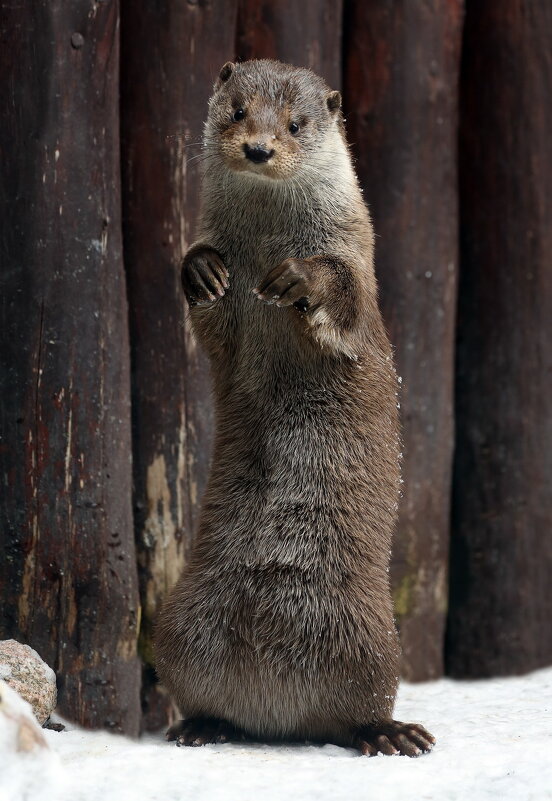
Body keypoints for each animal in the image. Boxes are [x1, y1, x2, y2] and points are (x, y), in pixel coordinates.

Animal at [154, 57, 436, 756]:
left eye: (296, 124)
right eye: (237, 110)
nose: (258, 147)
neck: (266, 239)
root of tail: (278, 713)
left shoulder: (355, 266)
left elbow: (341, 300)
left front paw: (298, 279)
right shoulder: (223, 320)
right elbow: (210, 306)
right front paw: (202, 269)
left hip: (374, 644)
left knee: (361, 707)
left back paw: (390, 732)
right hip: (182, 623)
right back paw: (202, 724)